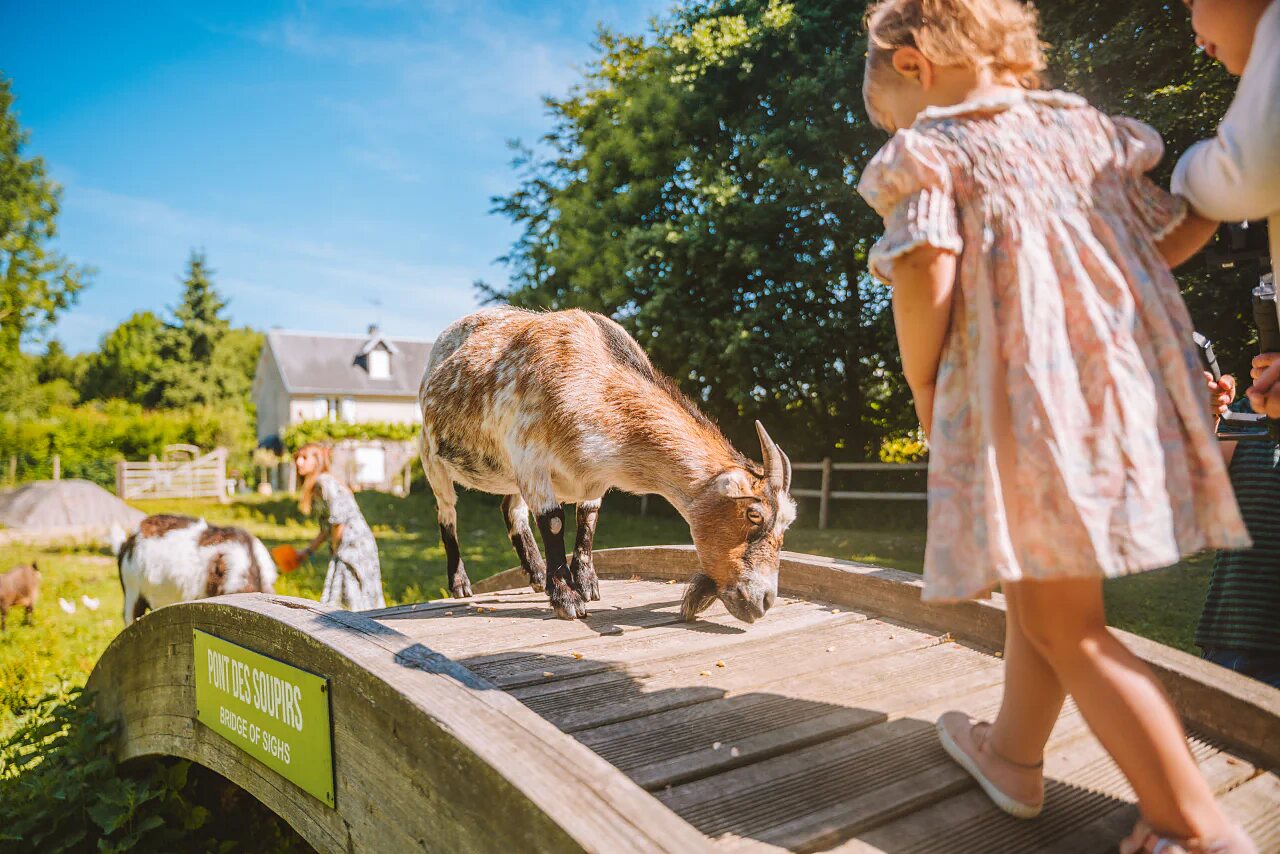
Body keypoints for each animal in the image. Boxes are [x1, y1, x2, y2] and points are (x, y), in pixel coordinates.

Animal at [419, 307, 796, 622]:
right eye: (754, 514)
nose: (764, 601)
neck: (592, 383)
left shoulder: (592, 476)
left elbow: (587, 521)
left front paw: (587, 584)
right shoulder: (531, 460)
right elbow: (553, 522)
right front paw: (567, 599)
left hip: (509, 474)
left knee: (511, 510)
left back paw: (537, 573)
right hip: (432, 456)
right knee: (447, 514)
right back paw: (461, 583)